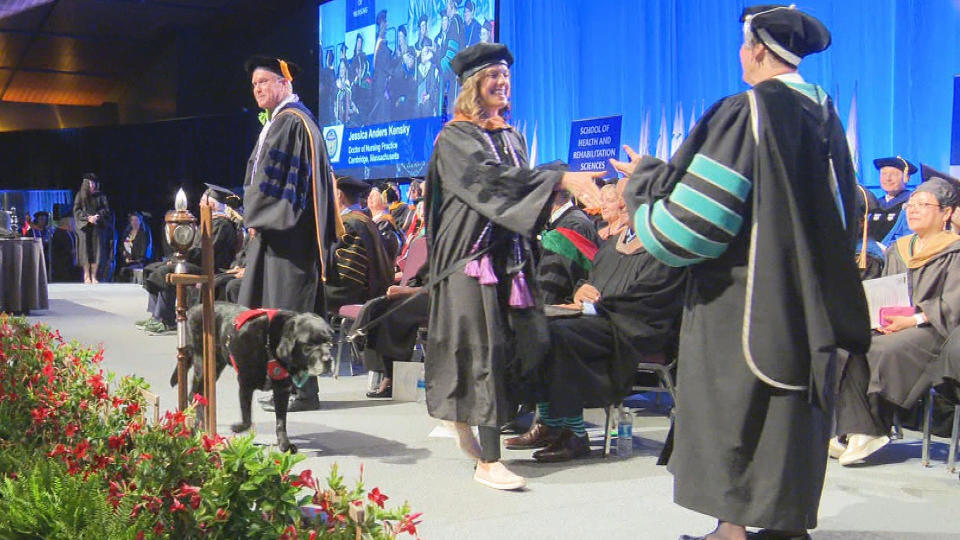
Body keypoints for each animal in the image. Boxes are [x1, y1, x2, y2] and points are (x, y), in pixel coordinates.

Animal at [171, 302, 336, 454]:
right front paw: (237, 427)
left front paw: (284, 444)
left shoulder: (282, 389)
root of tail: (193, 308)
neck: (268, 343)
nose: (328, 360)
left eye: (329, 343)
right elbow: (247, 418)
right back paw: (200, 426)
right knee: (194, 394)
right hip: (204, 362)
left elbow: (281, 422)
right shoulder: (245, 383)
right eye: (308, 345)